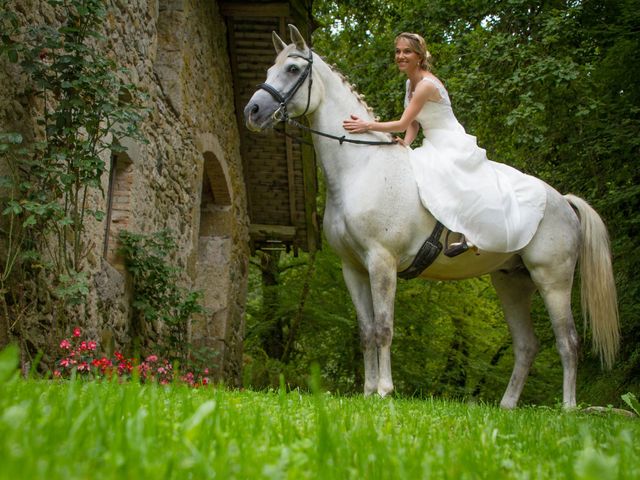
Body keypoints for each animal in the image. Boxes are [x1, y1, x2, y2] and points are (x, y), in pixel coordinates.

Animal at [244, 26, 620, 408]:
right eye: (268, 70)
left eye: (292, 69)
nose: (253, 111)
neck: (362, 166)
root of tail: (562, 201)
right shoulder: (354, 268)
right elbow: (365, 331)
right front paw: (367, 391)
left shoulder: (381, 261)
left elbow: (383, 327)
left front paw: (384, 390)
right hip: (512, 282)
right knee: (527, 346)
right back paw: (507, 407)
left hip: (552, 279)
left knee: (568, 342)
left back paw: (568, 408)